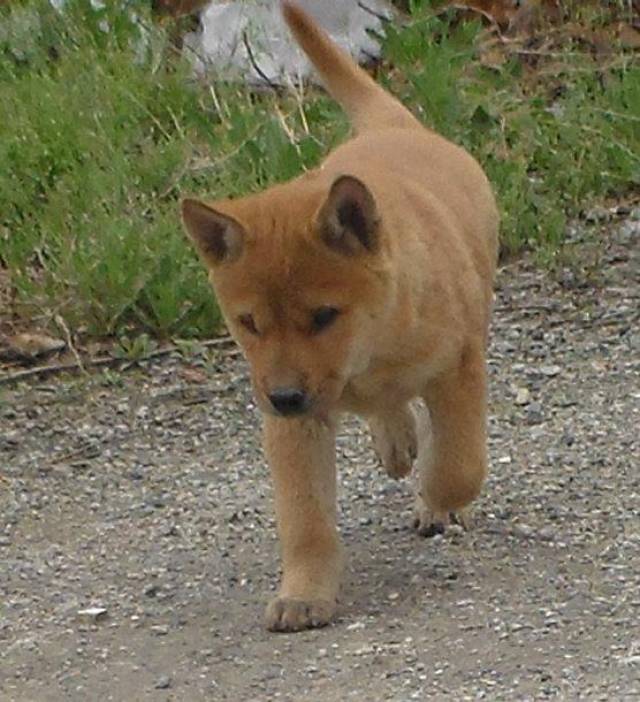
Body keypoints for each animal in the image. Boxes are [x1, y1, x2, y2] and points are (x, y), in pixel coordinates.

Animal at [182, 0, 498, 636]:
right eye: (249, 324)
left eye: (324, 316)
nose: (282, 396)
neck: (369, 352)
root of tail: (393, 130)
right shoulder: (294, 425)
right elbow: (305, 520)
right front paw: (305, 593)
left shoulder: (459, 369)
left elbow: (458, 464)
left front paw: (437, 499)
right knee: (391, 412)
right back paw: (395, 440)